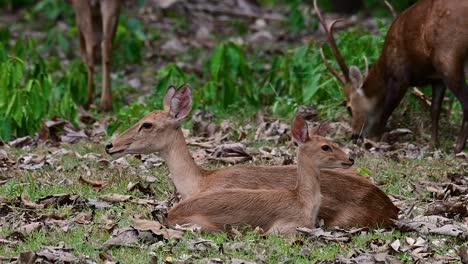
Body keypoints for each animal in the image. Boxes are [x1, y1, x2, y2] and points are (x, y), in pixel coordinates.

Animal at [166, 115, 352, 233]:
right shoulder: (284, 228)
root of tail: (169, 214)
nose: (350, 159)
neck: (302, 201)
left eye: (332, 142)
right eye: (325, 147)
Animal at [312, 0, 468, 153]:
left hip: (447, 57)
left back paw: (458, 147)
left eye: (349, 108)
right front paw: (433, 144)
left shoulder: (400, 75)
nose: (354, 135)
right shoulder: (436, 78)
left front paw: (375, 139)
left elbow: (387, 107)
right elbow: (434, 109)